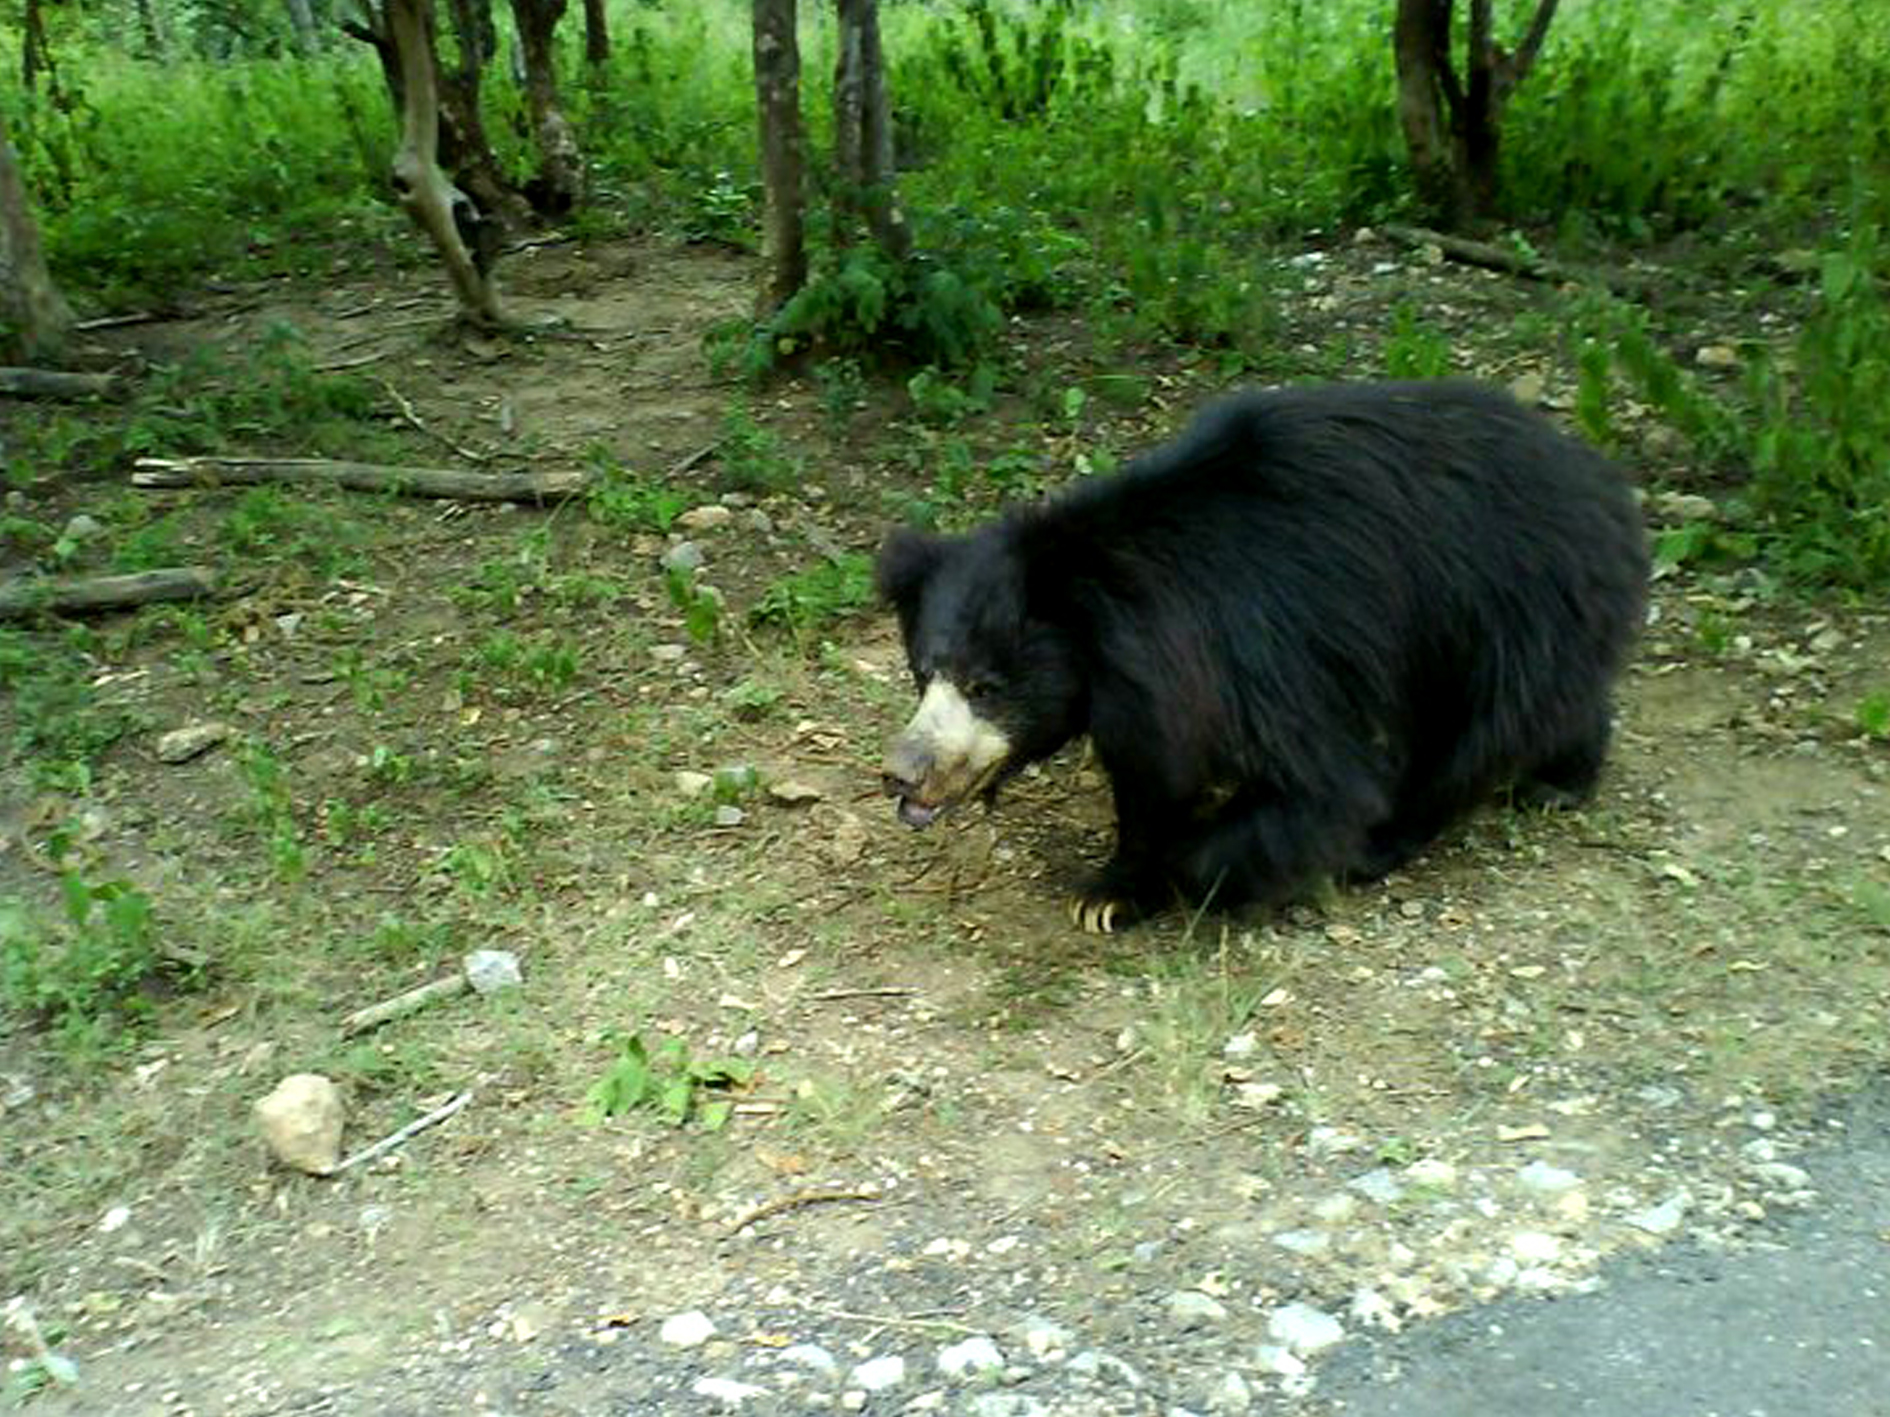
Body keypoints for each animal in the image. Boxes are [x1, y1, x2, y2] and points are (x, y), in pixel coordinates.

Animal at [876, 379, 1648, 933]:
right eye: (925, 672)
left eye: (986, 685)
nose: (900, 774)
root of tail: (1596, 475)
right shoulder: (1143, 697)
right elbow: (1152, 779)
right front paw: (1110, 894)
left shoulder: (1259, 652)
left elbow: (1317, 785)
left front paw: (1195, 869)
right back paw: (1562, 776)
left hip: (1495, 608)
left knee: (1469, 738)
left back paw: (1409, 833)